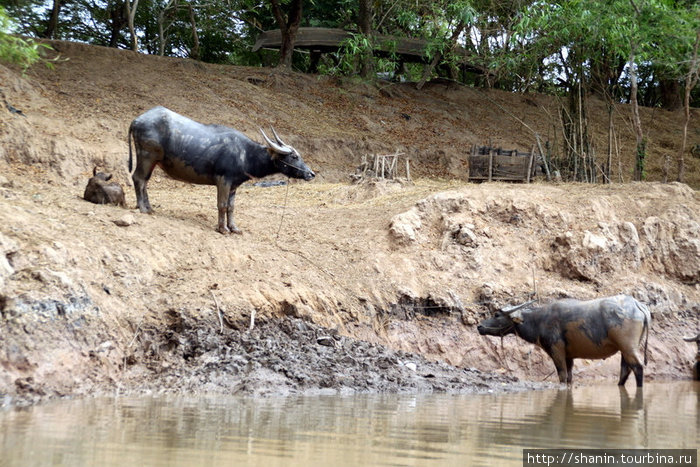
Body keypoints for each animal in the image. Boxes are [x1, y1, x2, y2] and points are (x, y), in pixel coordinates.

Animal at [127, 106, 316, 234]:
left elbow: (231, 207)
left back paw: (149, 207)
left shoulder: (234, 185)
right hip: (147, 156)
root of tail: (137, 121)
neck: (245, 154)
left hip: (152, 161)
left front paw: (234, 227)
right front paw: (223, 228)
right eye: (294, 156)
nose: (311, 173)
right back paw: (143, 208)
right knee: (138, 178)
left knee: (144, 181)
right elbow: (222, 205)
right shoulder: (223, 180)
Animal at [476, 296, 652, 388]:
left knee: (638, 367)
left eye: (497, 314)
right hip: (625, 350)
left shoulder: (556, 351)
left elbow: (562, 375)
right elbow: (569, 377)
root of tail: (638, 305)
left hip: (628, 347)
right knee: (625, 370)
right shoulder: (569, 357)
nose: (479, 326)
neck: (539, 320)